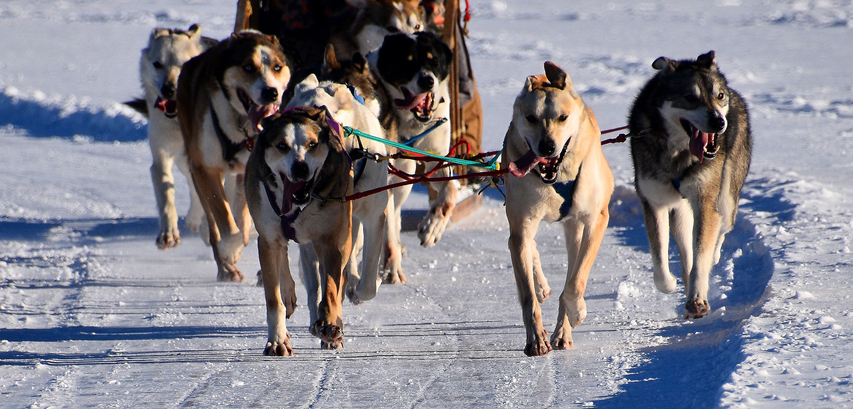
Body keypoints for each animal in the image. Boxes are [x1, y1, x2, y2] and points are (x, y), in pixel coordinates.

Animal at [176, 30, 290, 280]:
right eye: (248, 67)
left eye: (277, 67)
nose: (271, 92)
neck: (241, 124)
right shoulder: (205, 169)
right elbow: (227, 227)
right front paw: (230, 249)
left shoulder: (252, 171)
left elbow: (244, 217)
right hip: (201, 174)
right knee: (214, 223)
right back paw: (225, 267)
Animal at [246, 108, 352, 354]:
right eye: (281, 145)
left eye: (312, 144)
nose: (300, 167)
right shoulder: (267, 239)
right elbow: (273, 299)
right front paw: (277, 340)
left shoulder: (330, 242)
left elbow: (331, 289)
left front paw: (329, 324)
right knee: (284, 262)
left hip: (344, 240)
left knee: (333, 284)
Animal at [500, 60, 612, 354]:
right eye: (531, 117)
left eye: (563, 117)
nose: (548, 146)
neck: (556, 178)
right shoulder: (522, 225)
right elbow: (527, 297)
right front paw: (536, 338)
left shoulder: (595, 221)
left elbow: (575, 282)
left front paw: (576, 312)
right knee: (528, 250)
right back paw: (541, 287)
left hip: (574, 229)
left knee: (572, 270)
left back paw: (563, 330)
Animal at [624, 51, 752, 318]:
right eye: (690, 98)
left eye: (718, 96)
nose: (719, 122)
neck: (678, 154)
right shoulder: (655, 203)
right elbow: (660, 260)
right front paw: (672, 283)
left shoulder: (705, 201)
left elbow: (701, 255)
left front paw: (697, 299)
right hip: (681, 212)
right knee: (686, 249)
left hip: (726, 200)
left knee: (720, 229)